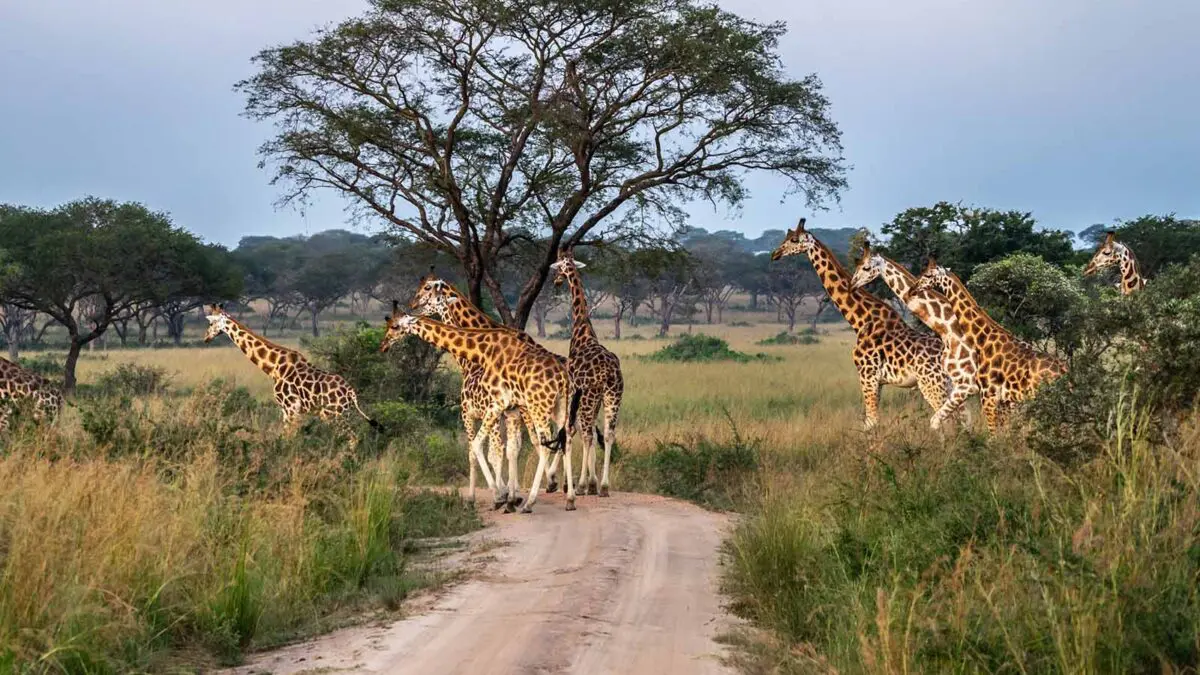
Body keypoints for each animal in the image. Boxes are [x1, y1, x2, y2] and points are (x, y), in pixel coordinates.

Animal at [203, 304, 380, 439]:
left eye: (211, 324)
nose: (205, 338)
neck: (274, 367)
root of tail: (351, 393)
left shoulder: (291, 408)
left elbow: (287, 440)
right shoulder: (287, 410)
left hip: (333, 415)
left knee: (352, 438)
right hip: (342, 414)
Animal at [381, 304, 574, 512]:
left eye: (394, 326)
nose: (383, 345)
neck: (481, 352)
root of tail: (563, 377)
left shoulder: (493, 405)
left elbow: (478, 447)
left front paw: (496, 497)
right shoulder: (509, 409)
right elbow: (507, 449)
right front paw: (508, 498)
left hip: (539, 407)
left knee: (546, 444)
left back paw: (530, 502)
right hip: (560, 407)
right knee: (565, 440)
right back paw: (569, 499)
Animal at [550, 248, 623, 497]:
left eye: (559, 266)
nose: (556, 281)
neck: (582, 331)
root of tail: (610, 372)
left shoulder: (573, 390)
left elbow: (573, 429)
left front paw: (573, 483)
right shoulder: (593, 397)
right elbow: (587, 429)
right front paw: (592, 482)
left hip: (591, 395)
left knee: (587, 433)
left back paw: (583, 485)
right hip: (613, 395)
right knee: (608, 433)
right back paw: (604, 486)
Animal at [771, 218, 949, 429]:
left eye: (794, 239)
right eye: (786, 236)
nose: (775, 254)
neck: (861, 320)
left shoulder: (867, 375)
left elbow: (871, 422)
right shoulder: (877, 381)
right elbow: (870, 421)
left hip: (933, 384)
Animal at [911, 260, 1067, 431]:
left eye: (928, 275)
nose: (913, 289)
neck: (982, 341)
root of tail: (1066, 372)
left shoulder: (988, 395)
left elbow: (993, 434)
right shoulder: (1003, 399)